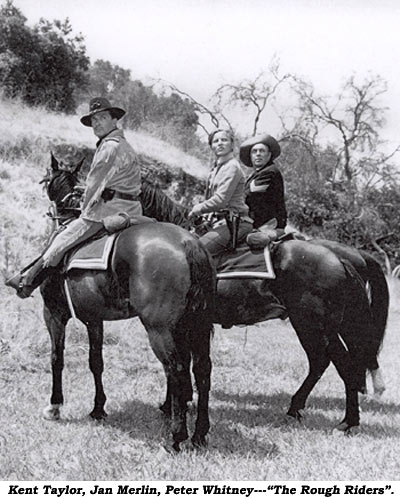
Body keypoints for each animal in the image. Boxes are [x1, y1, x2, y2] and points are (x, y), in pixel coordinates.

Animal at [29, 158, 217, 454]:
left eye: (46, 179)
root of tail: (189, 243)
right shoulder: (94, 319)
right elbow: (96, 362)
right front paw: (98, 409)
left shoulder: (54, 314)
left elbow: (56, 358)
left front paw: (55, 406)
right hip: (196, 327)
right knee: (202, 371)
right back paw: (199, 434)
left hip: (160, 330)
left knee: (176, 370)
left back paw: (176, 436)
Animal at [46, 161, 388, 434]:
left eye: (56, 186)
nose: (61, 217)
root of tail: (341, 258)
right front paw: (176, 405)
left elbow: (180, 364)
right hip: (313, 325)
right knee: (323, 362)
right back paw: (297, 408)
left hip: (318, 325)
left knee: (343, 365)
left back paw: (348, 421)